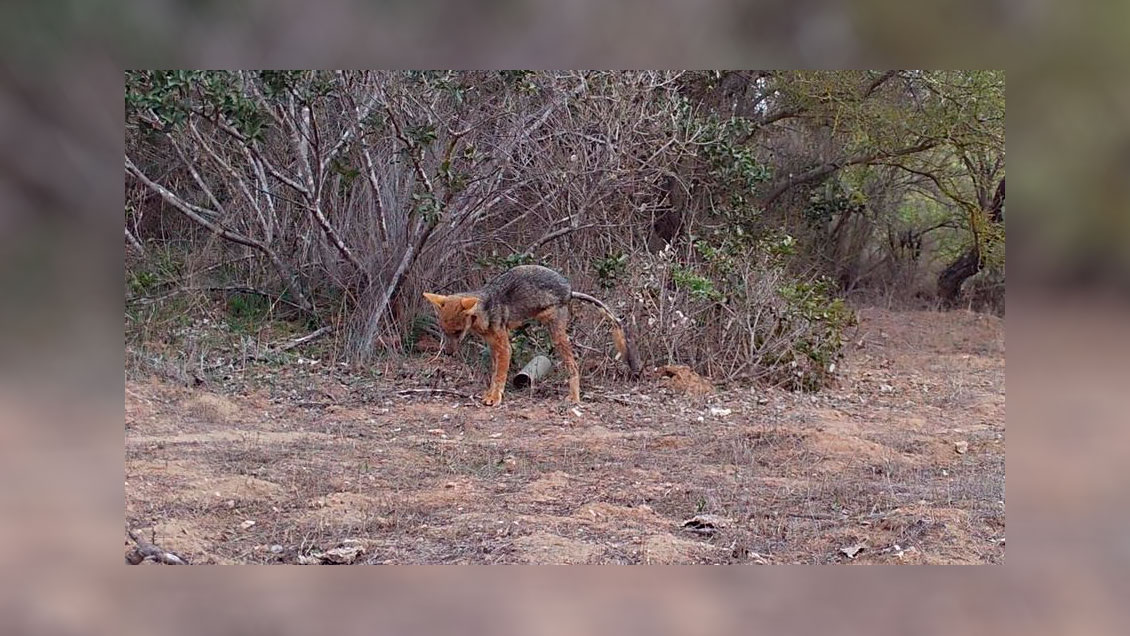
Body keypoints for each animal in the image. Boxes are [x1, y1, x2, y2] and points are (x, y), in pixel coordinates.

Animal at [423, 264, 641, 406]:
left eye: (458, 332)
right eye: (444, 331)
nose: (448, 353)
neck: (484, 313)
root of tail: (569, 290)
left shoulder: (505, 348)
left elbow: (500, 376)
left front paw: (495, 398)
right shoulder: (493, 346)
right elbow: (494, 375)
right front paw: (489, 394)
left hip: (556, 335)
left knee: (574, 365)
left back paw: (574, 398)